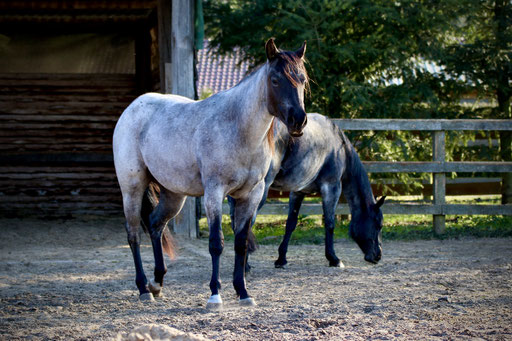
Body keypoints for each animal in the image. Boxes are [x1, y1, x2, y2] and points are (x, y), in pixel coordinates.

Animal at [112, 38, 308, 306]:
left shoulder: (251, 195)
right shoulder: (214, 193)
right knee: (133, 234)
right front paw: (215, 294)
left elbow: (241, 243)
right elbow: (217, 243)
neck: (237, 128)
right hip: (132, 188)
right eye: (276, 80)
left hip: (174, 195)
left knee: (155, 225)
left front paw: (243, 292)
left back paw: (158, 283)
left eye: (302, 79)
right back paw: (143, 289)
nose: (299, 120)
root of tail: (132, 108)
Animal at [229, 114, 384, 268]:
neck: (339, 148)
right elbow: (330, 223)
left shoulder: (298, 192)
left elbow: (291, 224)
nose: (378, 255)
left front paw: (281, 259)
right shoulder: (332, 187)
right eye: (378, 224)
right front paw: (333, 258)